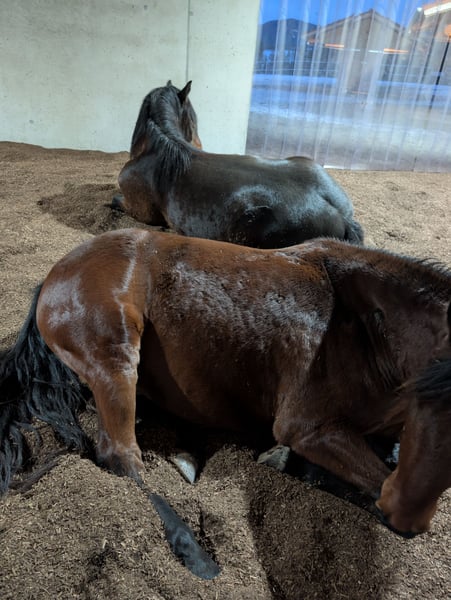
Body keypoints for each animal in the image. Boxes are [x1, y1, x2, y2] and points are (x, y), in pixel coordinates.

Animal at [1, 229, 450, 542]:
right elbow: (370, 480)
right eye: (426, 393)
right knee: (122, 455)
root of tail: (53, 275)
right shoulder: (309, 427)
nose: (406, 510)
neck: (365, 329)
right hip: (116, 354)